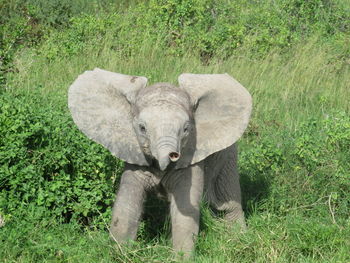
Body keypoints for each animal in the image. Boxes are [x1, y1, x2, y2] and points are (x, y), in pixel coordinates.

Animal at [67, 68, 252, 256]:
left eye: (186, 129)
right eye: (142, 128)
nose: (172, 155)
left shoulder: (190, 156)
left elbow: (185, 208)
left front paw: (181, 257)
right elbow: (126, 204)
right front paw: (119, 254)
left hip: (227, 154)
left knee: (227, 202)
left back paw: (239, 239)